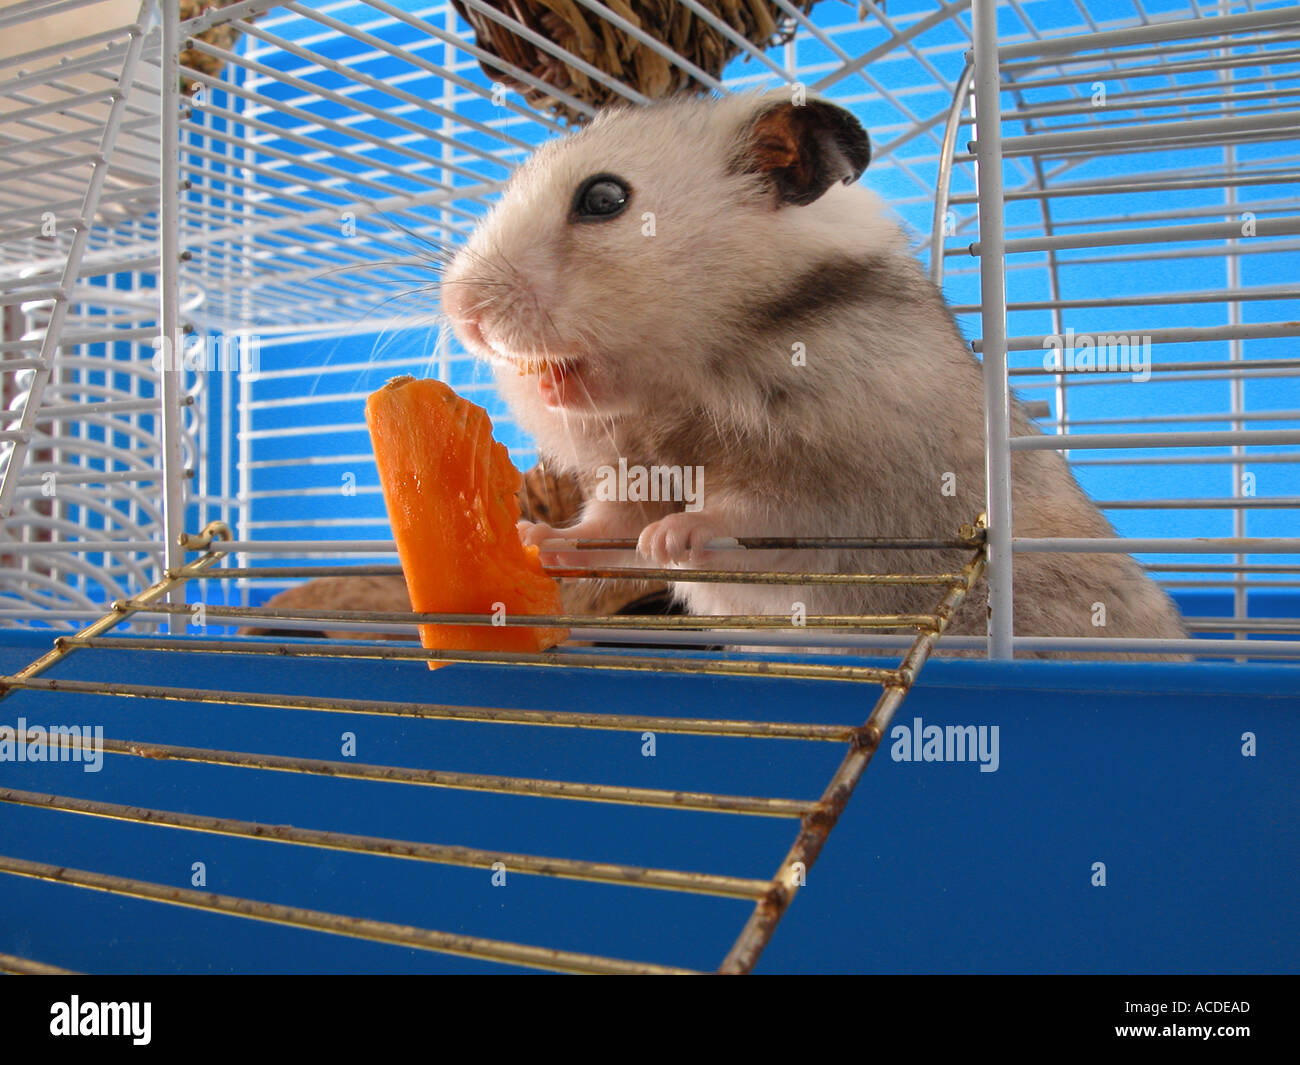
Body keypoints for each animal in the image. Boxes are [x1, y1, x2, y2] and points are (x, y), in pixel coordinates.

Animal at [439, 91, 1187, 656]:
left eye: (602, 199)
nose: (462, 312)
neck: (687, 383)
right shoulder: (632, 476)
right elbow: (606, 531)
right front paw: (536, 540)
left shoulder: (842, 479)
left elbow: (744, 516)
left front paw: (675, 536)